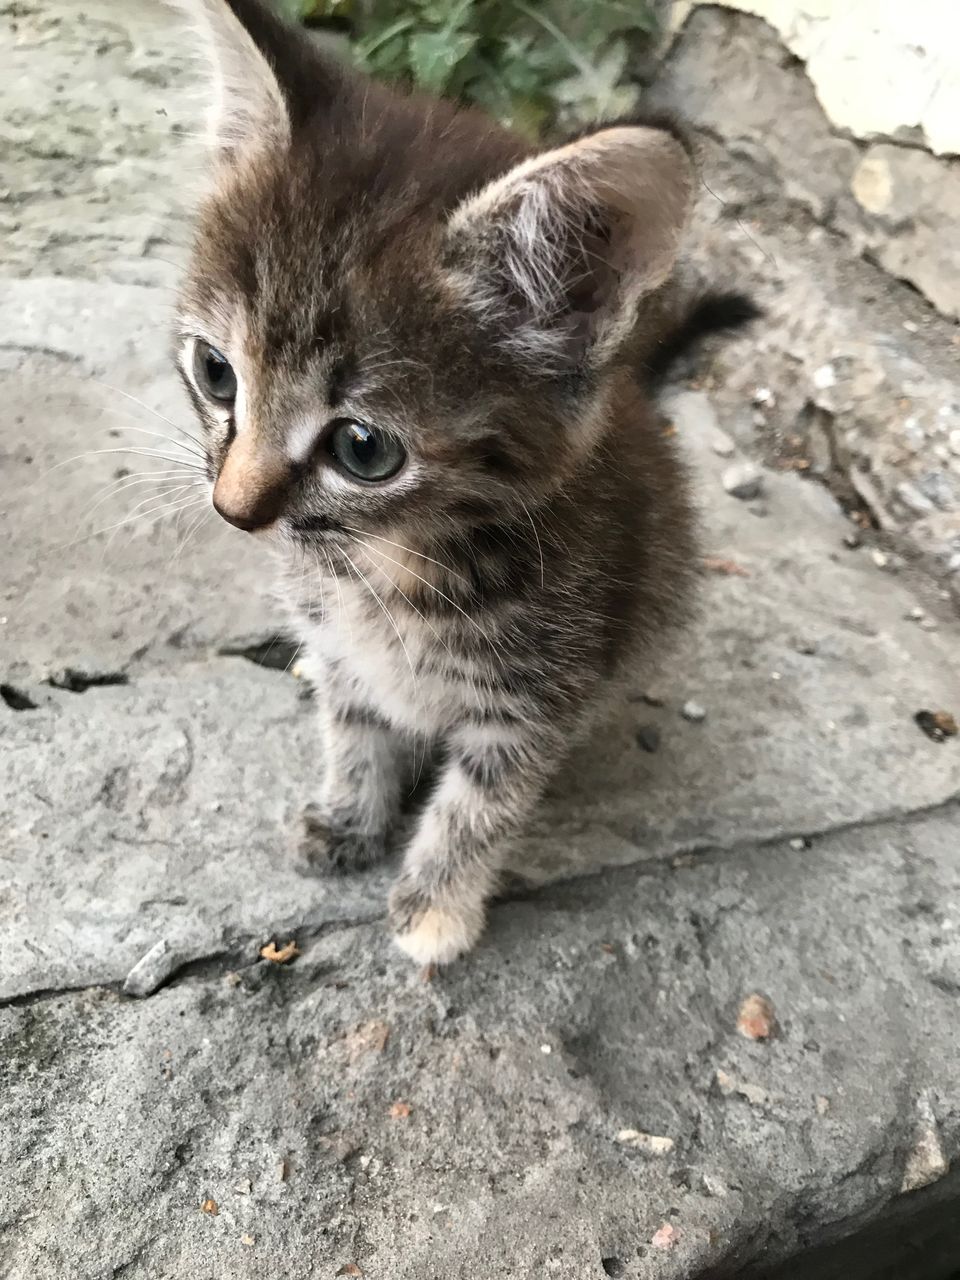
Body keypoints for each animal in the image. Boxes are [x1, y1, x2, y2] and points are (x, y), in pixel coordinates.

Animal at [168, 0, 757, 962]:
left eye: (363, 449)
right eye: (217, 373)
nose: (234, 509)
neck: (389, 568)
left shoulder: (537, 699)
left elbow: (481, 805)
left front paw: (435, 909)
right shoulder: (345, 657)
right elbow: (355, 730)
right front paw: (351, 817)